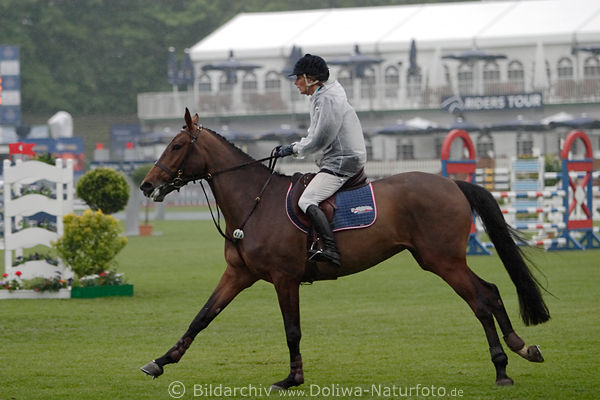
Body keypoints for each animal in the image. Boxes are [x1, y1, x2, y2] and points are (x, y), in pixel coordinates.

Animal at [139, 108, 548, 390]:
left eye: (177, 146)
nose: (146, 185)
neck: (255, 201)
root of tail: (452, 184)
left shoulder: (284, 279)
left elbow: (292, 330)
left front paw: (292, 379)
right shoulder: (239, 274)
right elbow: (202, 317)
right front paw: (161, 361)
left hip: (443, 261)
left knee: (480, 300)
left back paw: (502, 367)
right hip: (441, 260)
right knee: (490, 293)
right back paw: (520, 349)